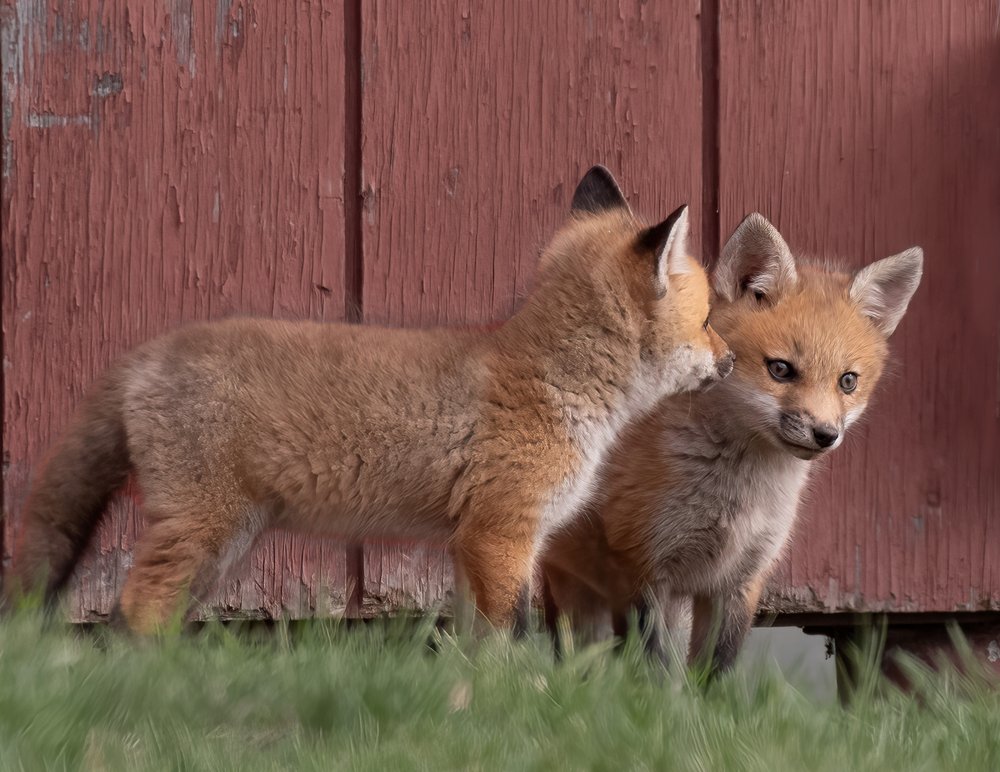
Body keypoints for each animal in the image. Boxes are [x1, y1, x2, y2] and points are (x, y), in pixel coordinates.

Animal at [9, 166, 734, 635]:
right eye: (706, 320)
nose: (730, 360)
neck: (555, 381)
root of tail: (147, 351)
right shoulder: (502, 534)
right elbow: (515, 641)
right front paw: (525, 707)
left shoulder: (470, 544)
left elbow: (474, 645)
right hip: (203, 530)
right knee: (134, 613)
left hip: (224, 544)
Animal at [540, 212, 923, 674]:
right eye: (780, 369)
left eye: (847, 381)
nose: (825, 434)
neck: (736, 498)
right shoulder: (643, 570)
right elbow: (652, 670)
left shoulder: (739, 581)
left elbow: (714, 673)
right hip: (574, 595)